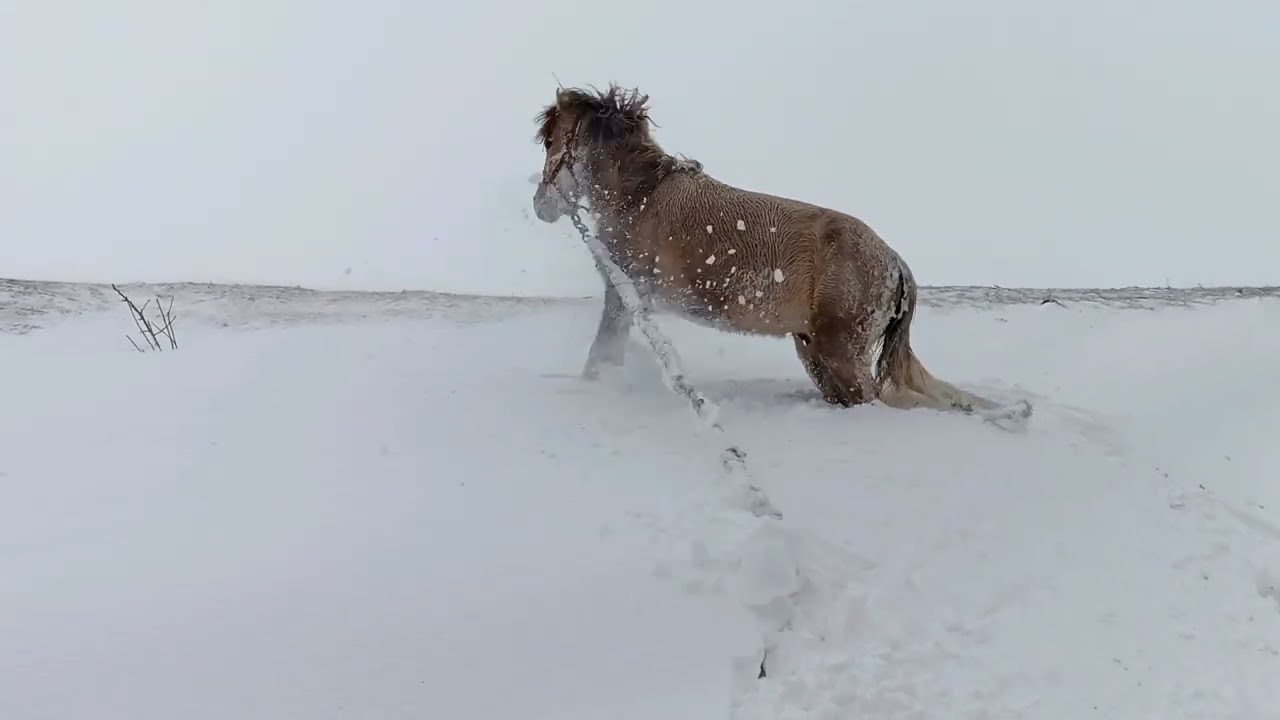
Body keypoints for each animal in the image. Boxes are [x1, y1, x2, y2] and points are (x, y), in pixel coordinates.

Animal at [531, 83, 1030, 424]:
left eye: (551, 140)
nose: (541, 205)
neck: (642, 196)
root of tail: (896, 264)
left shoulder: (625, 295)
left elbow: (600, 354)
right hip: (814, 353)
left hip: (840, 356)